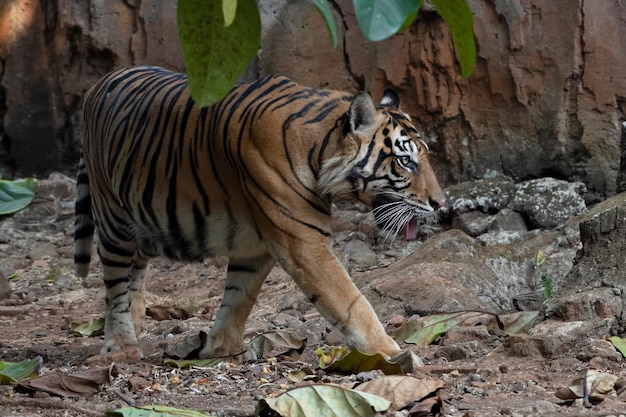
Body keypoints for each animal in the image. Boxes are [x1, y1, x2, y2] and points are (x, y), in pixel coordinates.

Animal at [74, 65, 444, 358]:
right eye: (406, 161)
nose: (440, 203)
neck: (320, 148)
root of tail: (97, 84)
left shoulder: (255, 244)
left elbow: (240, 297)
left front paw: (220, 347)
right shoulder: (301, 240)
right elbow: (350, 300)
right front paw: (388, 350)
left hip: (147, 219)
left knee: (136, 267)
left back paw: (137, 320)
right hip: (113, 218)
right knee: (115, 283)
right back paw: (122, 345)